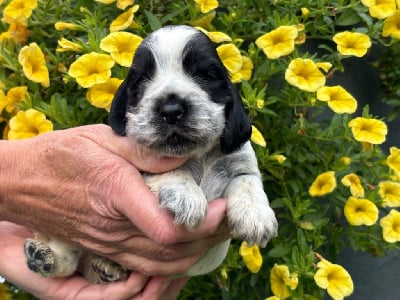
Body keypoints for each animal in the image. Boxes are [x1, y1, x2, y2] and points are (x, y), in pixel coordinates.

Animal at [23, 25, 276, 284]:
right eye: (142, 79)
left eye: (205, 75)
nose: (171, 110)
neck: (198, 155)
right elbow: (168, 169)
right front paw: (186, 195)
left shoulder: (239, 162)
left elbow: (246, 180)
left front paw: (256, 217)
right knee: (69, 257)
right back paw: (44, 256)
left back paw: (105, 266)